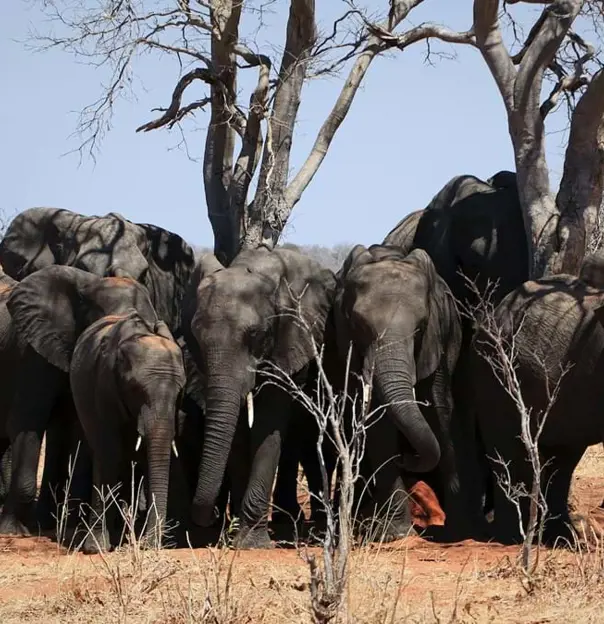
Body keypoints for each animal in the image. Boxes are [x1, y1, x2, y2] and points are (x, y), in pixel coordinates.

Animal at [182, 246, 338, 548]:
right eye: (196, 335)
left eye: (255, 334)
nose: (212, 514)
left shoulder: (289, 338)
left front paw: (251, 543)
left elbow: (267, 422)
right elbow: (239, 430)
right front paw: (238, 536)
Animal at [332, 244, 464, 540]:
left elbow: (438, 404)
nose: (407, 457)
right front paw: (396, 533)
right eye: (358, 324)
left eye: (421, 326)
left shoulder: (436, 339)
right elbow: (378, 421)